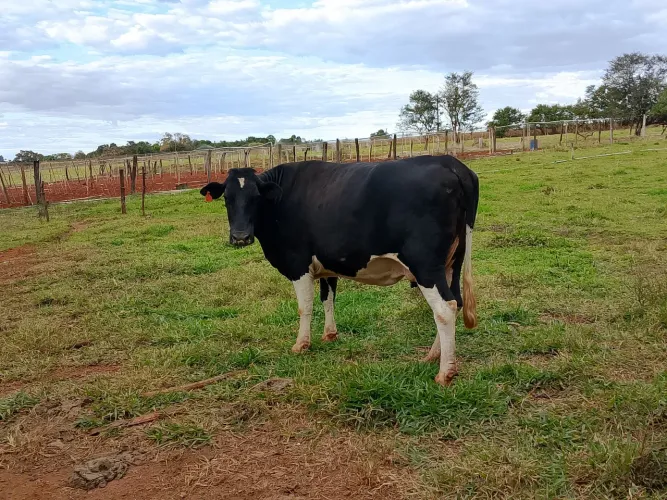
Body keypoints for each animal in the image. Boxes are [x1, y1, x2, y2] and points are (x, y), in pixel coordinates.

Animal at [200, 155, 479, 386]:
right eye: (227, 199)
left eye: (256, 198)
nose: (240, 236)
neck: (280, 201)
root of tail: (451, 163)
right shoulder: (328, 263)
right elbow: (328, 298)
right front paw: (329, 334)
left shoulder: (297, 263)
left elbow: (305, 306)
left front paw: (301, 344)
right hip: (450, 263)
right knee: (455, 302)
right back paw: (433, 355)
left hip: (425, 265)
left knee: (444, 308)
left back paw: (445, 372)